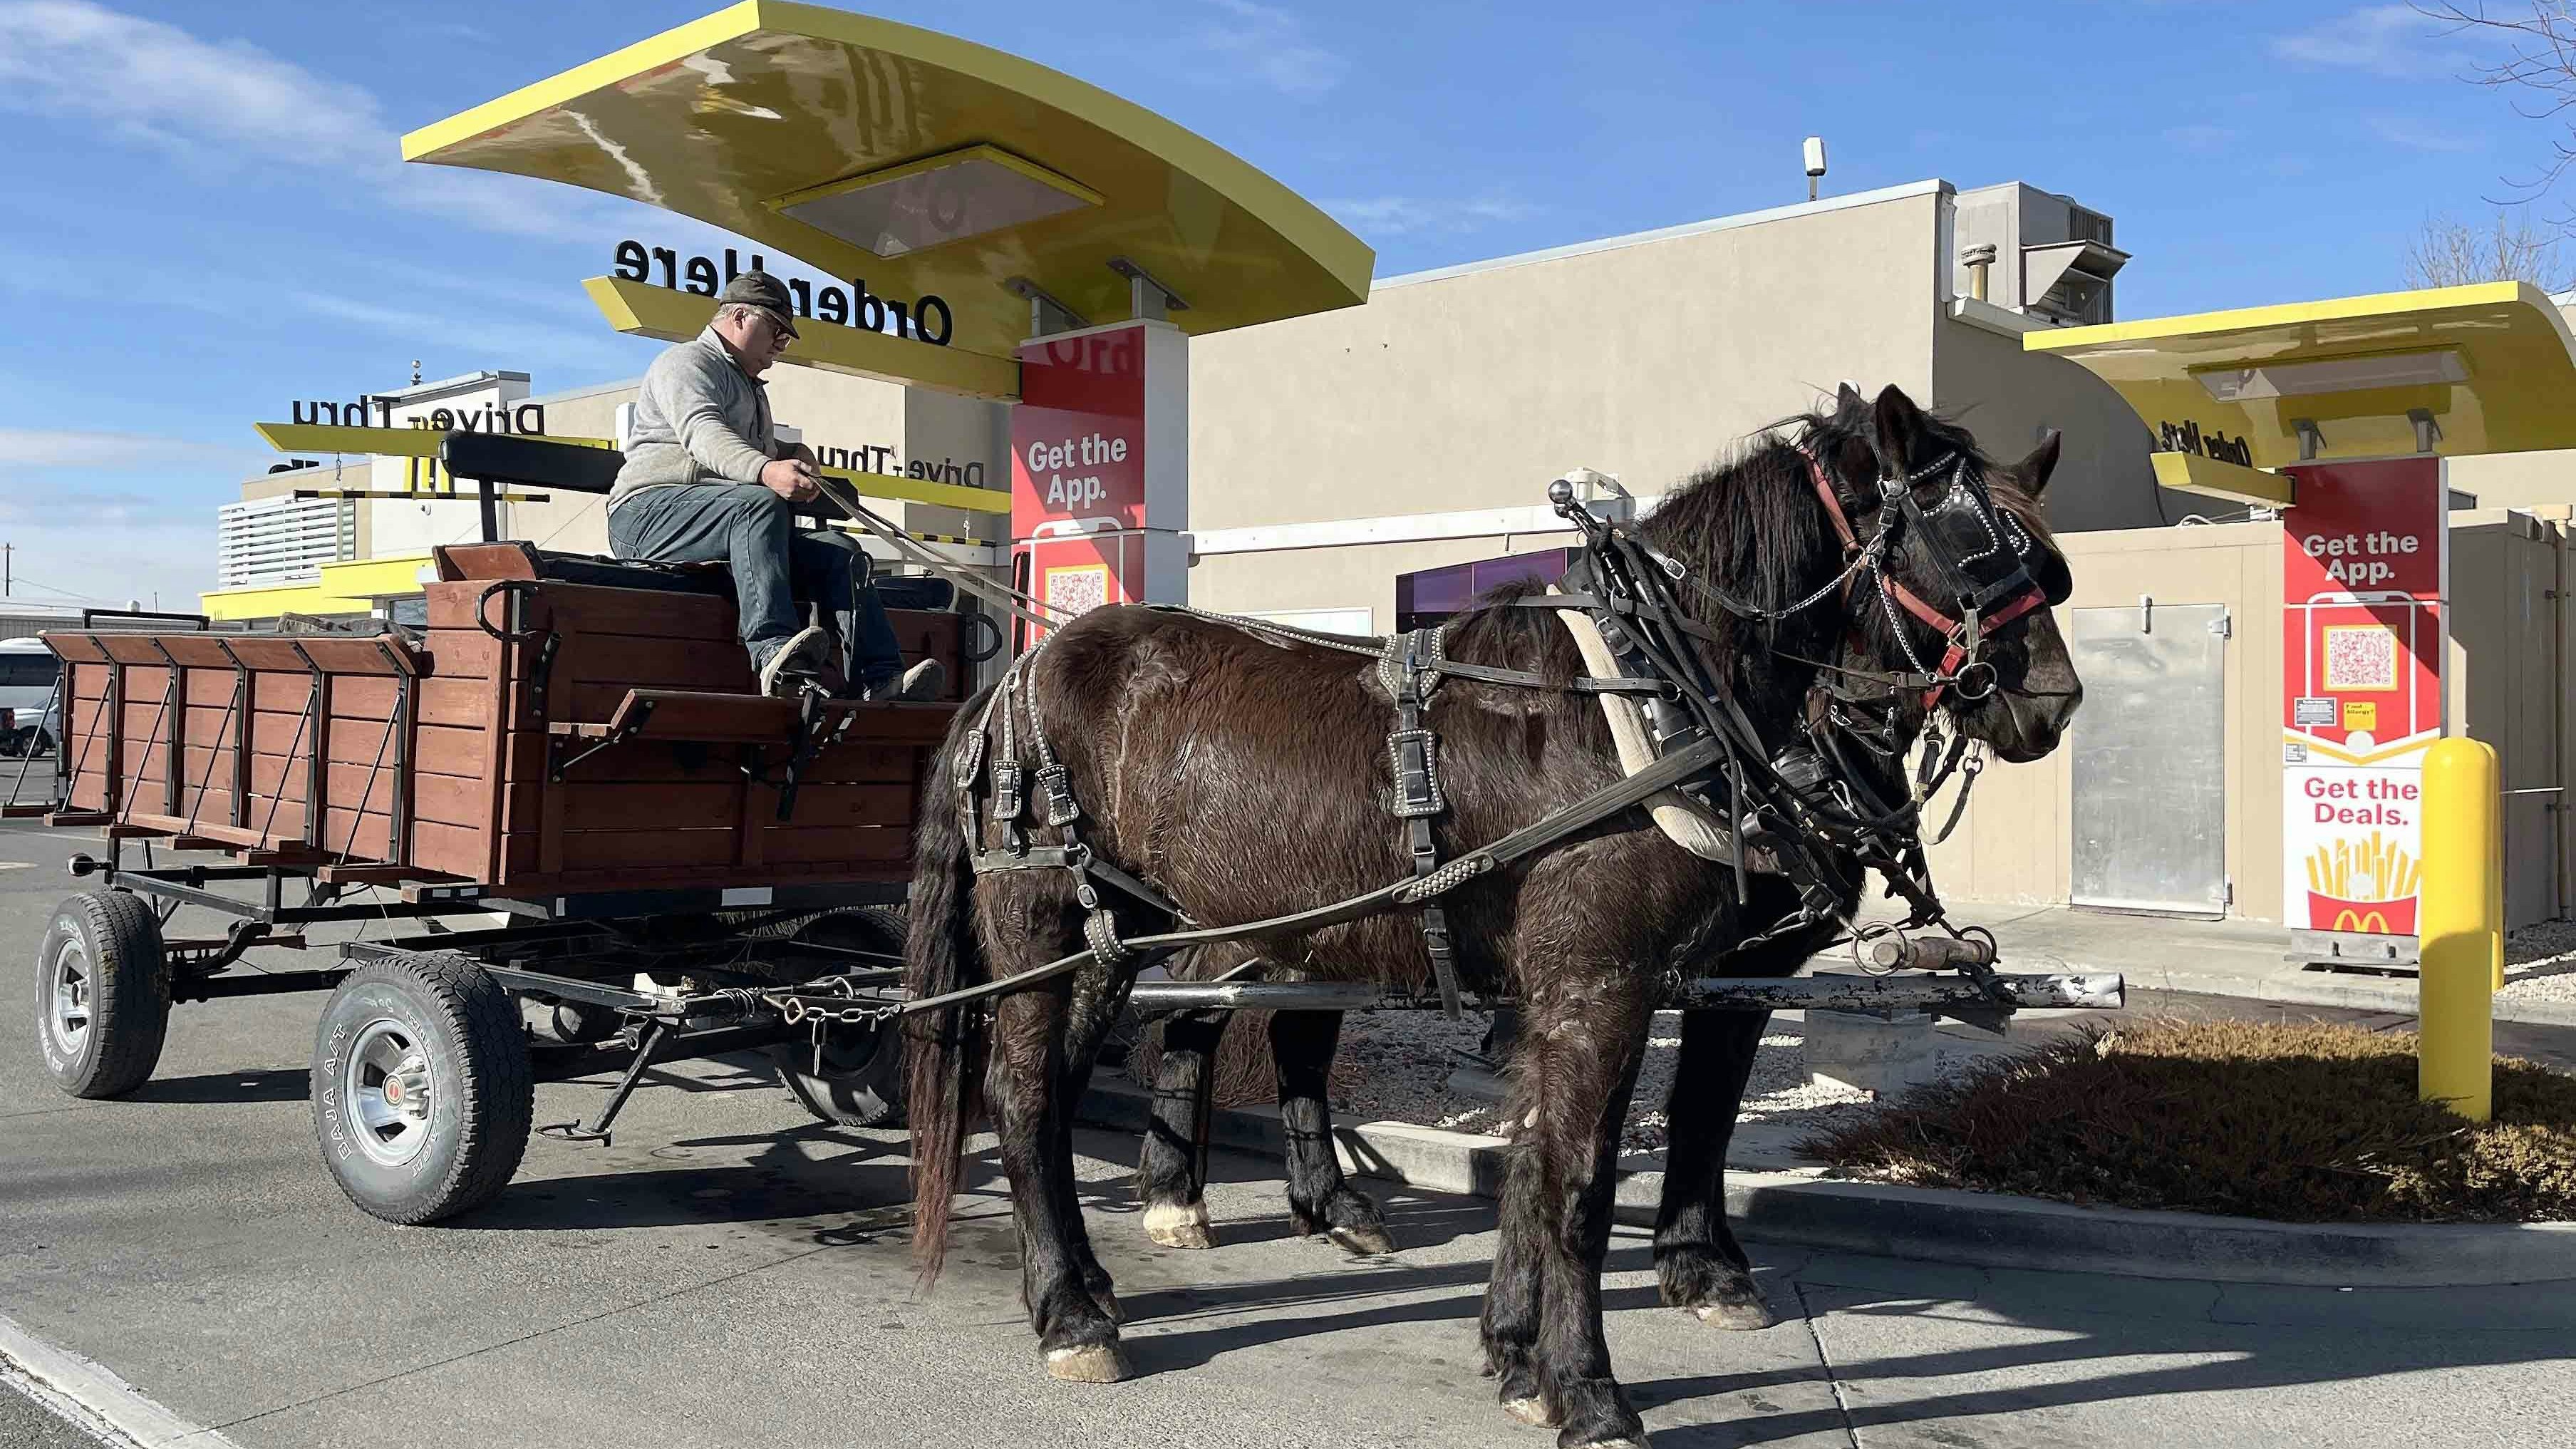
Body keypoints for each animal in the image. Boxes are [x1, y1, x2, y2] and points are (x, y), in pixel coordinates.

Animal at [906, 382, 2082, 1447]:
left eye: (2050, 565)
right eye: (1970, 544)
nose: (2052, 703)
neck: (1654, 701)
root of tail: (1013, 674)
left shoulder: (1648, 982)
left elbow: (1581, 1147)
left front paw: (1523, 1351)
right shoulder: (1599, 986)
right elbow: (1577, 1181)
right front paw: (1586, 1388)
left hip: (1125, 937)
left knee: (1079, 1083)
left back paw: (1100, 1276)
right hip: (1045, 920)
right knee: (1023, 1091)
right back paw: (1069, 1311)